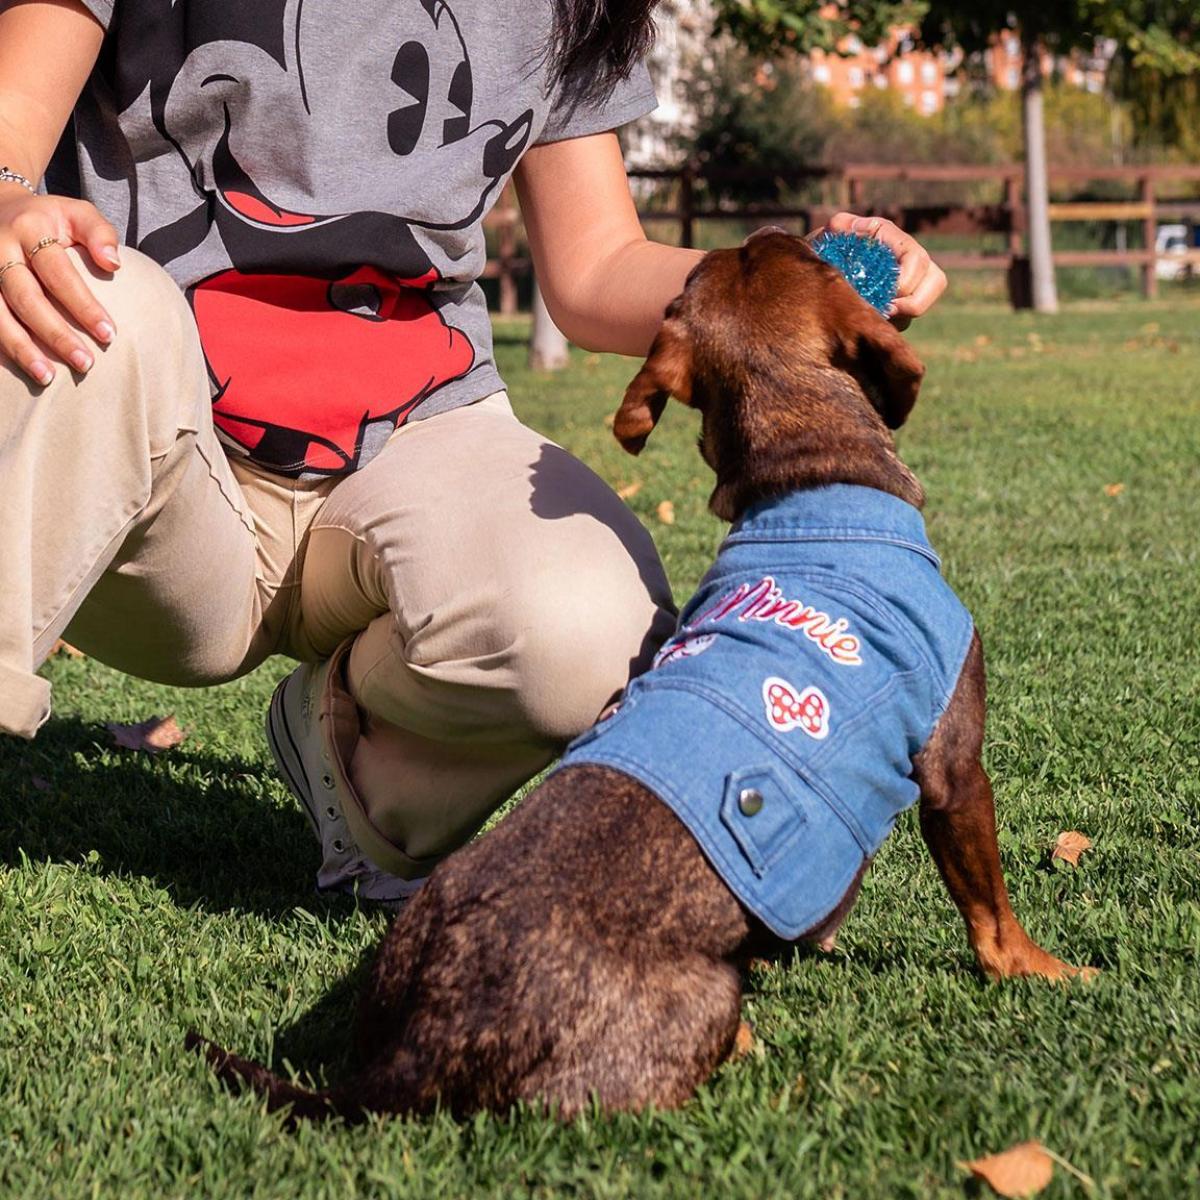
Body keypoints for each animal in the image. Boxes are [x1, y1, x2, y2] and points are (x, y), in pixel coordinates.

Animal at [187, 226, 1089, 1123]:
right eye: (816, 260)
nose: (770, 227)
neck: (807, 476)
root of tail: (410, 1052)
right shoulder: (953, 772)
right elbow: (991, 911)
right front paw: (1047, 971)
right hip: (698, 1002)